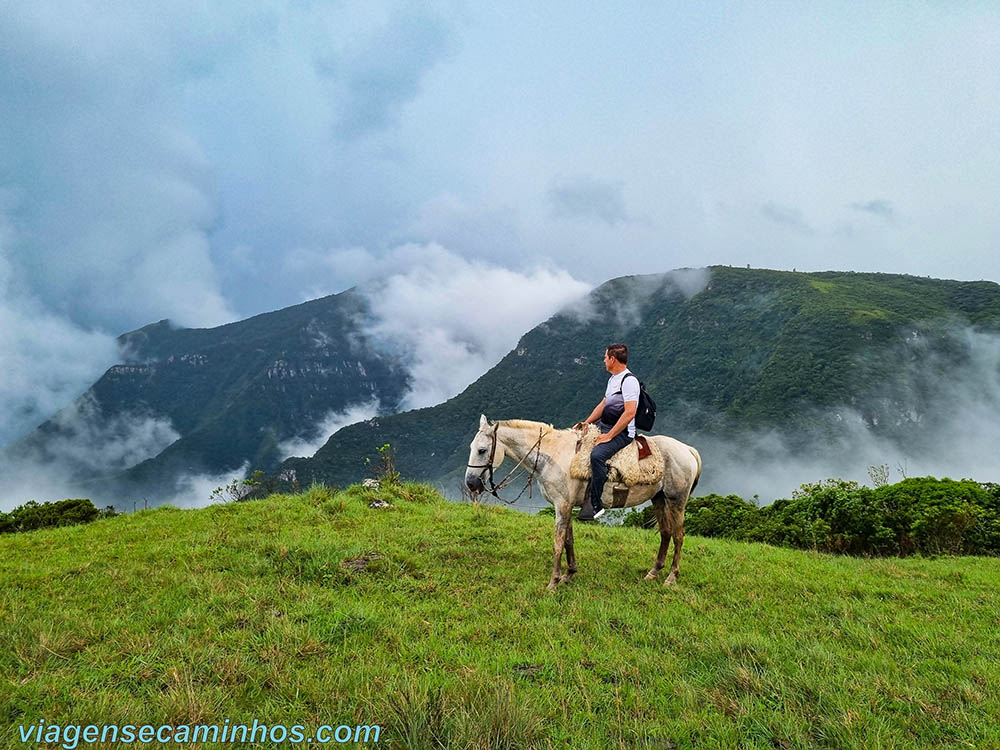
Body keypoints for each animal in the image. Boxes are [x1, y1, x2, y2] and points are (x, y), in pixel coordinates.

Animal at [464, 418, 700, 592]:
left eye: (482, 450)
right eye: (472, 447)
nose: (471, 483)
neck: (553, 455)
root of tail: (688, 450)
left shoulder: (561, 505)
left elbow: (558, 543)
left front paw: (553, 582)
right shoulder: (566, 505)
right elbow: (569, 541)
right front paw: (569, 574)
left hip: (677, 500)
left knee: (678, 536)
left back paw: (671, 577)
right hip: (659, 498)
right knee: (666, 533)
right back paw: (654, 572)